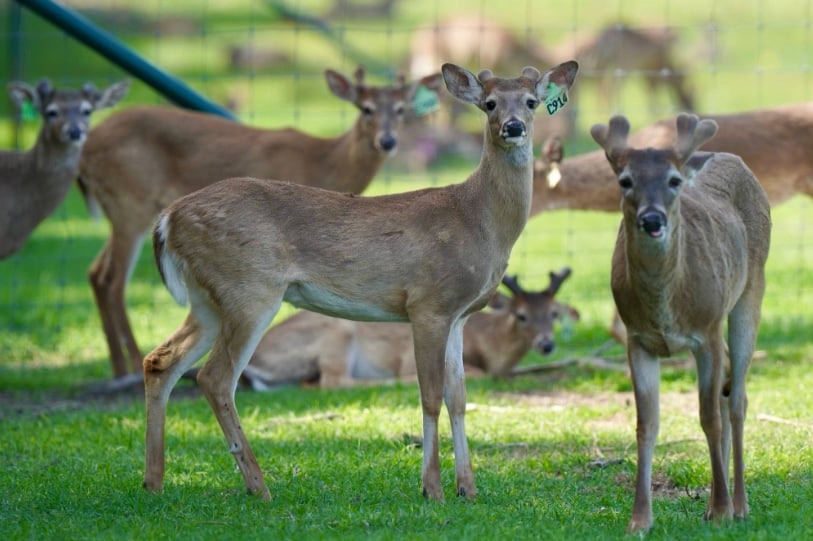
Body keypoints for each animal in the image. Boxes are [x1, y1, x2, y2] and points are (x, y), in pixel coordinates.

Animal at [77, 66, 443, 379]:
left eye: (401, 109)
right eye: (365, 108)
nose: (387, 141)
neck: (325, 164)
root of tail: (86, 150)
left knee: (96, 271)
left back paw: (120, 365)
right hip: (130, 202)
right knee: (113, 279)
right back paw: (126, 366)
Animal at [591, 113, 771, 533]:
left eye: (673, 180)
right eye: (625, 180)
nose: (652, 218)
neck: (665, 305)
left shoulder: (706, 331)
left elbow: (709, 418)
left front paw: (721, 511)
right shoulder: (637, 339)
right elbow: (646, 424)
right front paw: (639, 519)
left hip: (750, 290)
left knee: (738, 399)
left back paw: (739, 504)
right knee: (728, 389)